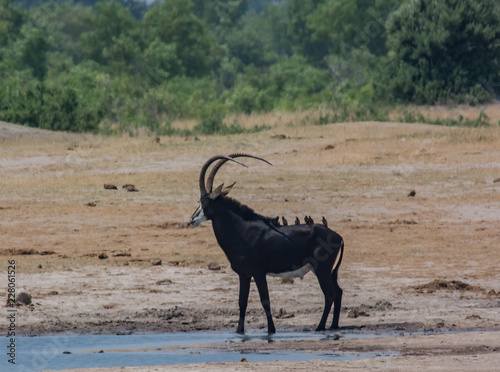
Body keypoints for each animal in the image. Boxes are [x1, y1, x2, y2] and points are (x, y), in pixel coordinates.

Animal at [190, 154, 344, 334]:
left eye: (205, 202)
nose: (192, 219)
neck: (241, 231)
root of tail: (337, 236)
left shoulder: (258, 273)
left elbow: (265, 301)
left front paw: (271, 330)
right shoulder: (244, 274)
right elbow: (242, 302)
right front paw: (239, 332)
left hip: (322, 271)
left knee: (329, 295)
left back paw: (320, 327)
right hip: (328, 272)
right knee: (338, 292)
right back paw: (334, 325)